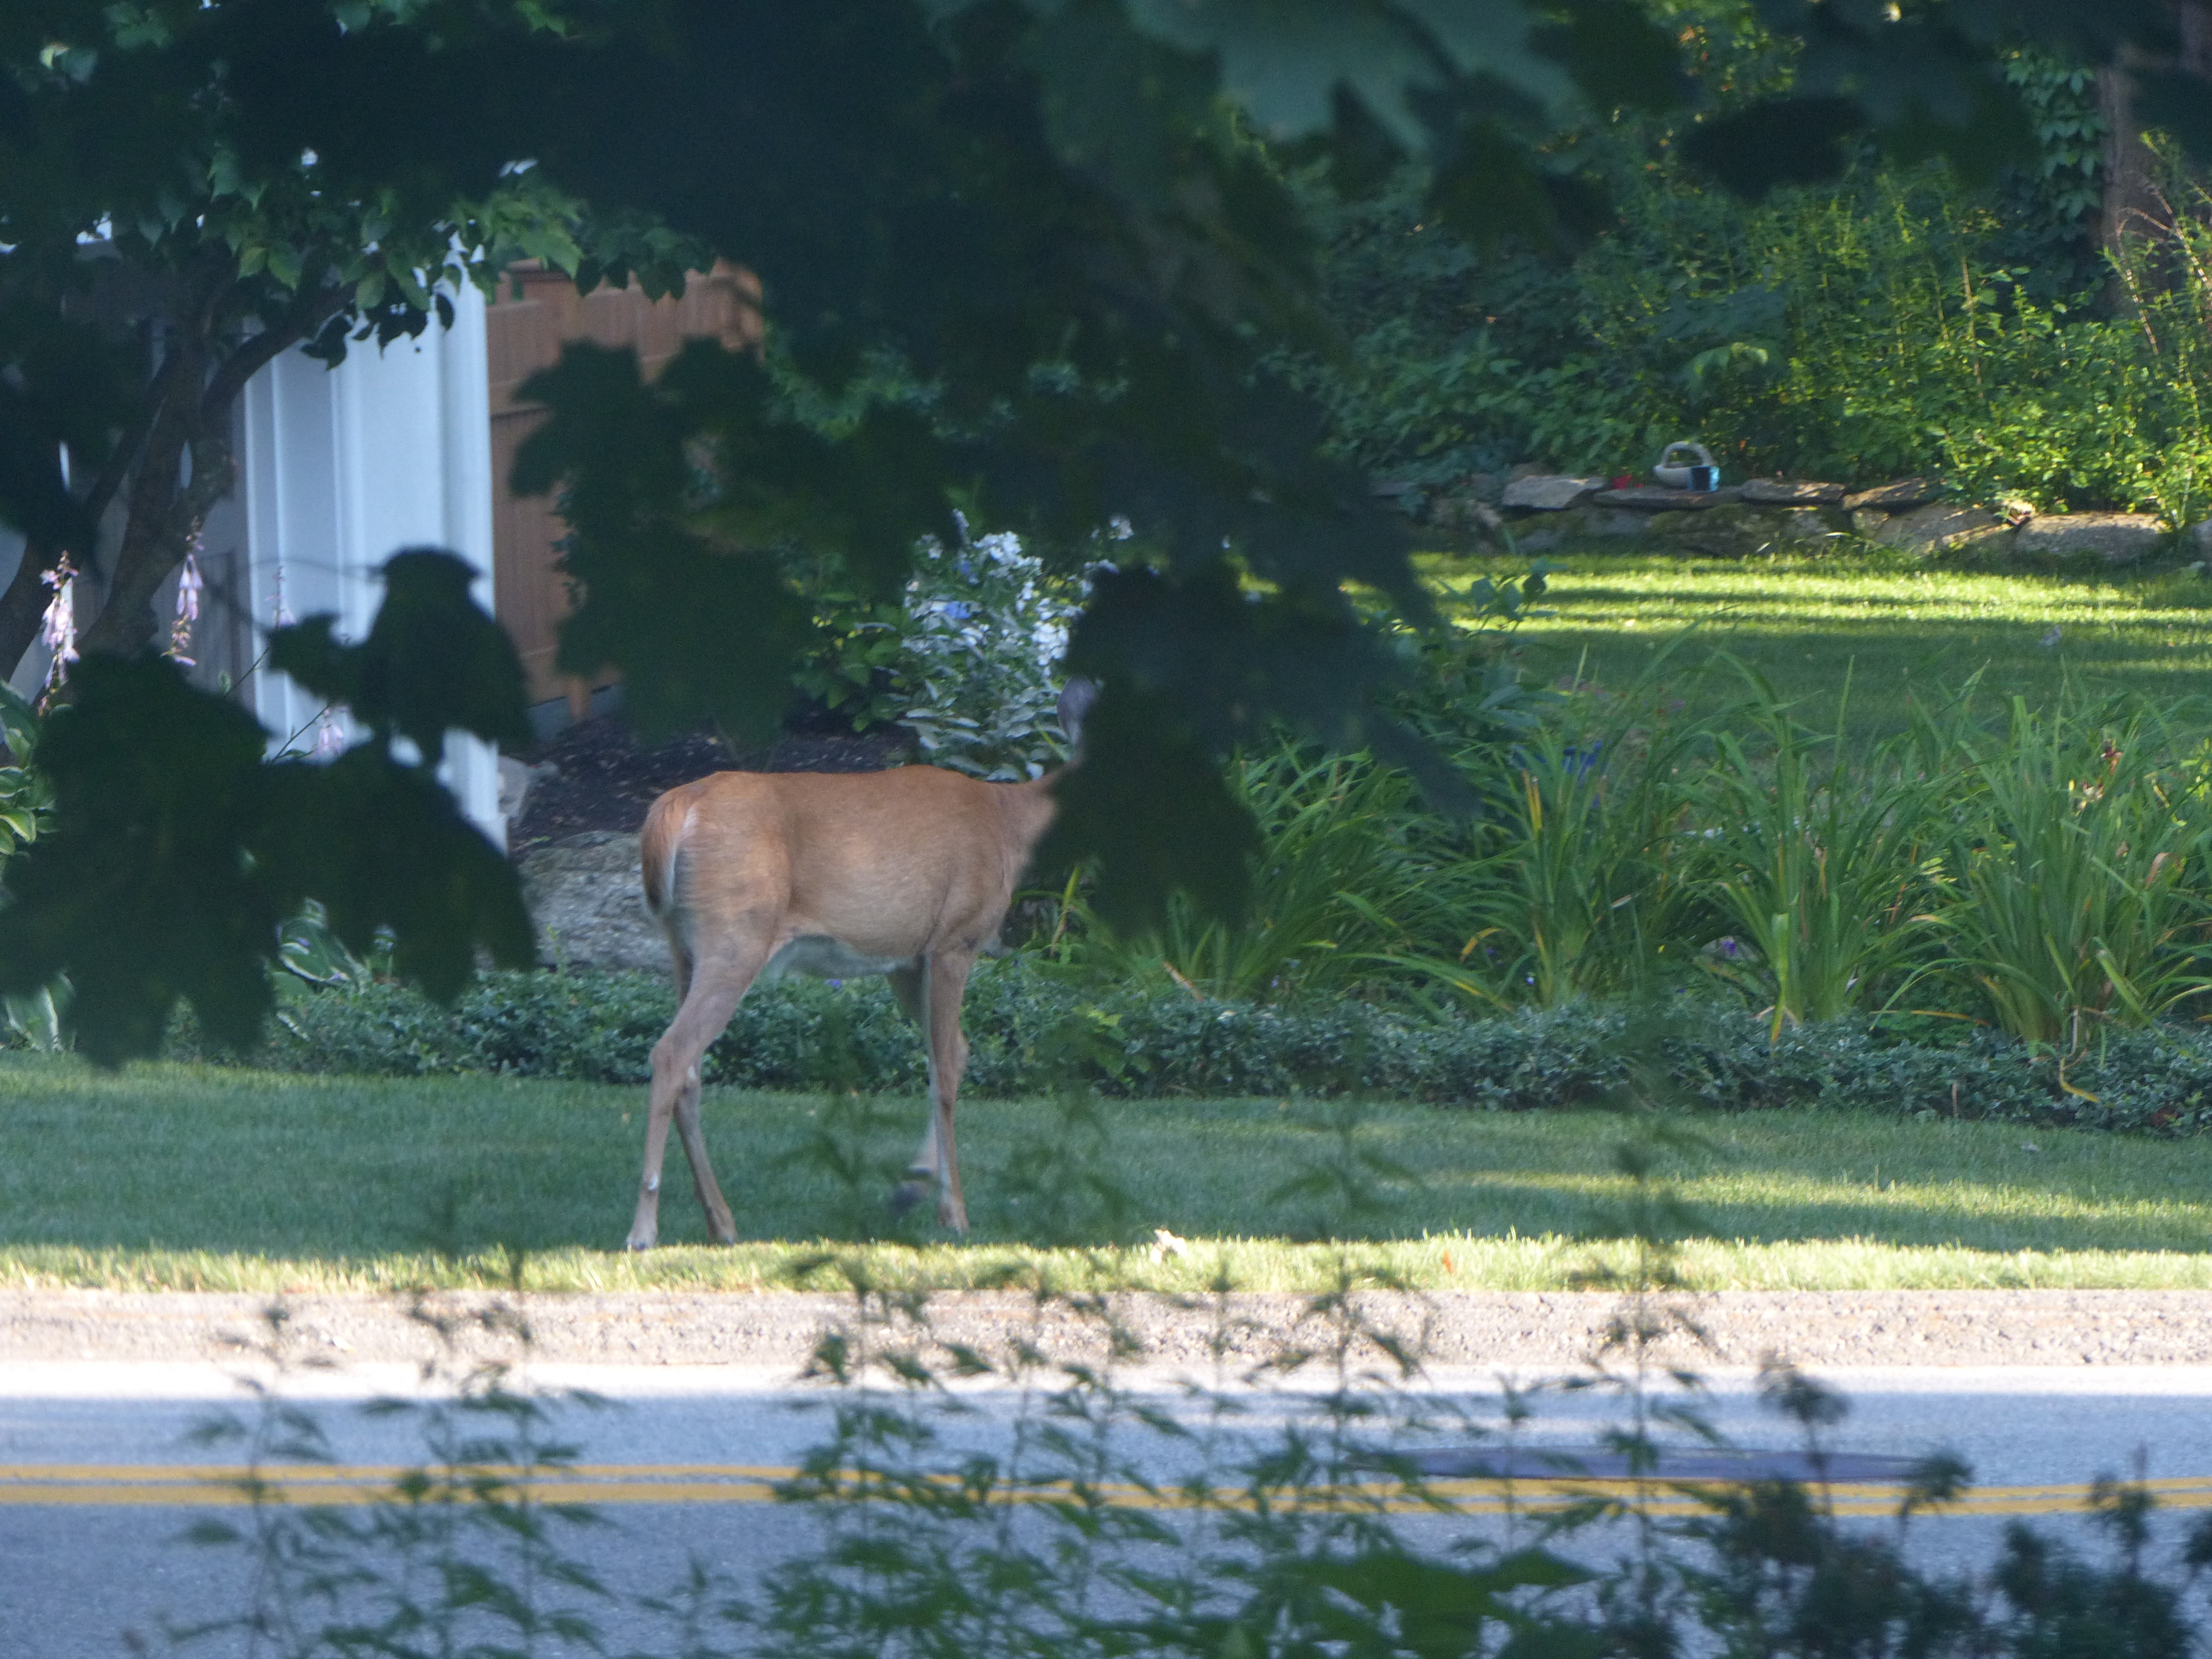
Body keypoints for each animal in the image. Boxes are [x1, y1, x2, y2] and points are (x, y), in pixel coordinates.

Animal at [624, 681, 1096, 1249]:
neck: (1009, 826)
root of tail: (675, 809)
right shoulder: (955, 939)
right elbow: (944, 1071)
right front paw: (954, 1213)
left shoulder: (904, 959)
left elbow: (952, 1054)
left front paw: (909, 1190)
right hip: (736, 933)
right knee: (672, 1053)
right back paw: (644, 1230)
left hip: (683, 947)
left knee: (690, 1067)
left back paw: (722, 1223)